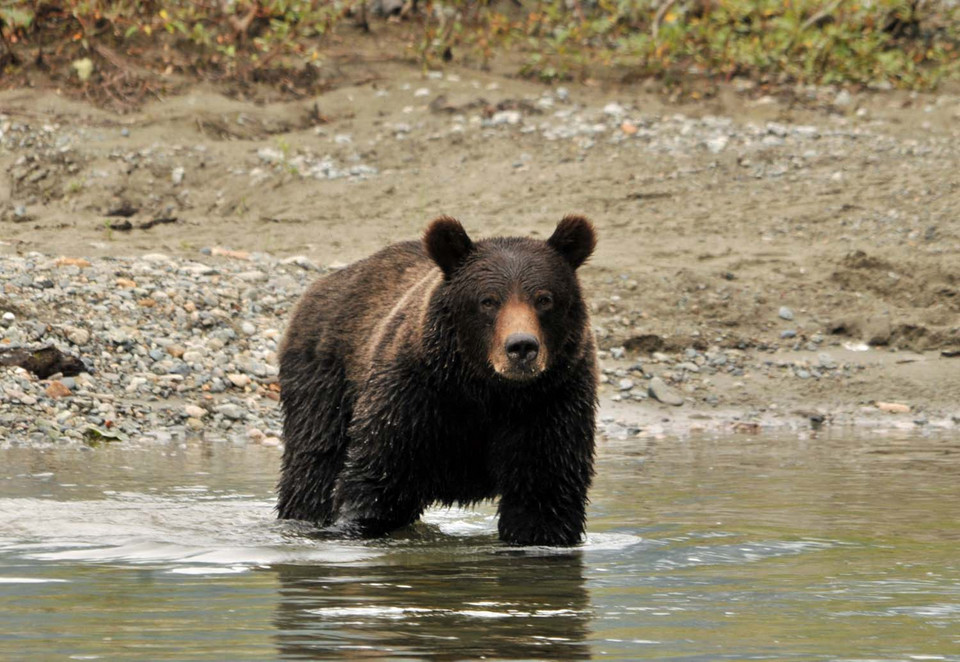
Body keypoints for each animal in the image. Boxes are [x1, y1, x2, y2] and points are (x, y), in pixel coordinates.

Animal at [274, 215, 596, 548]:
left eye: (544, 299)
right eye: (488, 300)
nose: (521, 346)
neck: (486, 389)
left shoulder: (550, 405)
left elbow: (544, 498)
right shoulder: (413, 399)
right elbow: (376, 483)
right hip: (324, 377)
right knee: (314, 467)